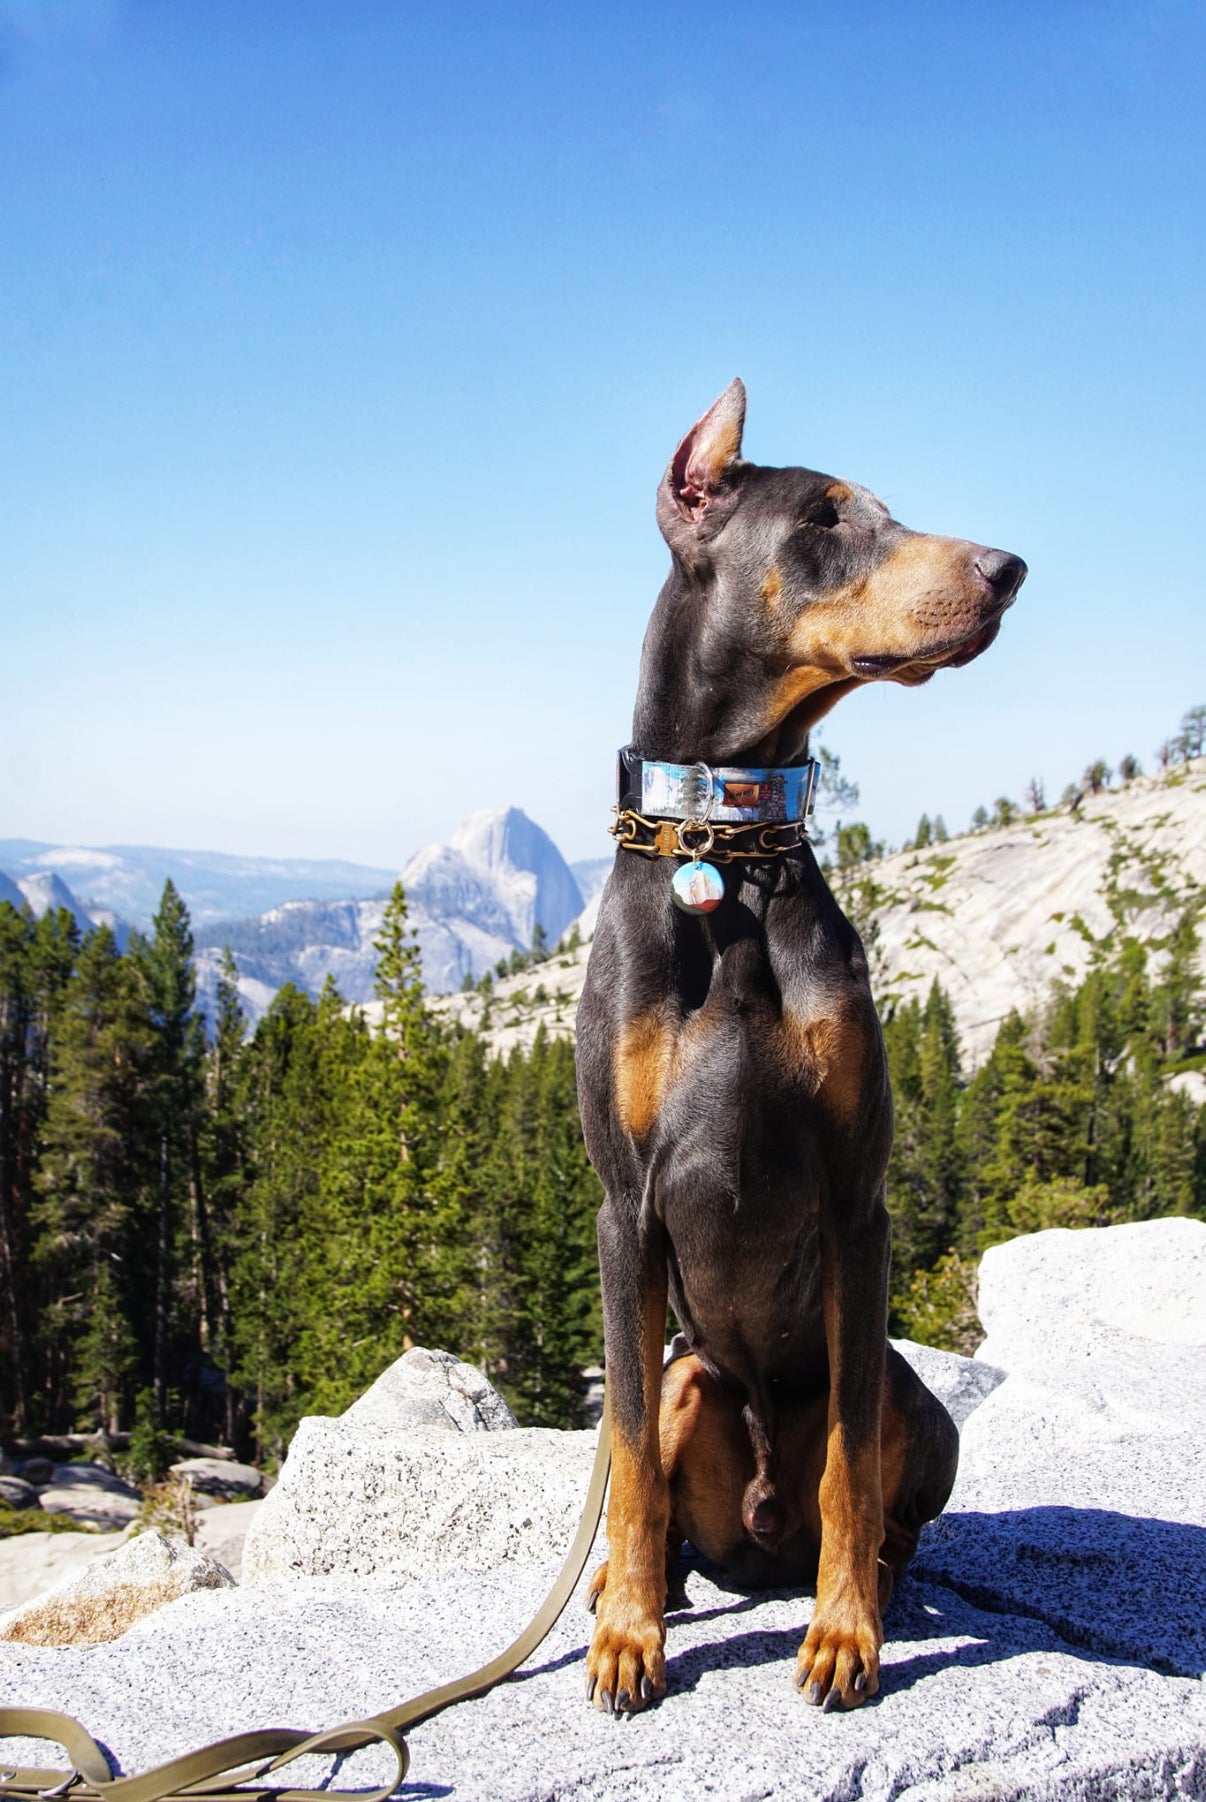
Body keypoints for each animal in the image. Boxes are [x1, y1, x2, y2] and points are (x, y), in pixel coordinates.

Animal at [575, 379, 1026, 1715]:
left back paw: (870, 1580)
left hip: (907, 1392)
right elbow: (626, 1448)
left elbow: (849, 1466)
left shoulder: (857, 1198)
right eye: (827, 517)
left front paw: (845, 1633)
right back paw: (643, 1586)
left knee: (872, 1479)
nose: (1009, 568)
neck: (724, 842)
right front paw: (626, 1633)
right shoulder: (623, 1207)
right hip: (693, 1371)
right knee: (673, 1481)